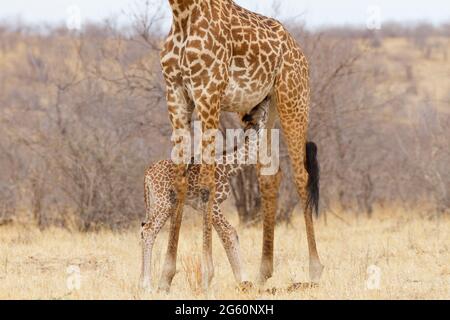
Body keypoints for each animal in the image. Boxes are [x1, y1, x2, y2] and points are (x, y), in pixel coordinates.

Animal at [151, 0, 324, 290]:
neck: (182, 13)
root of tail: (299, 52)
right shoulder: (175, 94)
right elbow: (180, 182)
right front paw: (165, 277)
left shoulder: (208, 94)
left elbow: (207, 182)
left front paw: (206, 274)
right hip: (259, 108)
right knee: (269, 175)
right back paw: (263, 272)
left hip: (294, 100)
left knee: (301, 175)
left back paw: (314, 269)